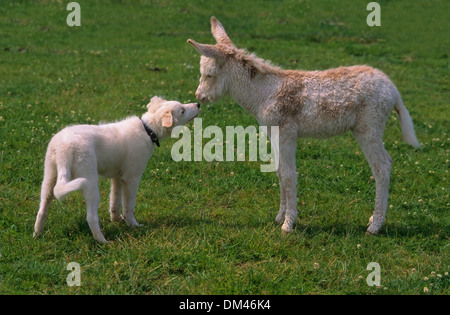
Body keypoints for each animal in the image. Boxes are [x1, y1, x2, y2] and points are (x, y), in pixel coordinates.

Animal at [33, 96, 199, 244]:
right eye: (182, 111)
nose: (198, 104)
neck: (148, 129)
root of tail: (64, 148)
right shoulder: (131, 179)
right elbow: (128, 206)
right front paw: (133, 225)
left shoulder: (117, 178)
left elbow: (115, 201)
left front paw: (116, 220)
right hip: (89, 181)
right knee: (91, 217)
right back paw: (103, 241)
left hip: (49, 177)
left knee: (42, 210)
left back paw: (37, 236)